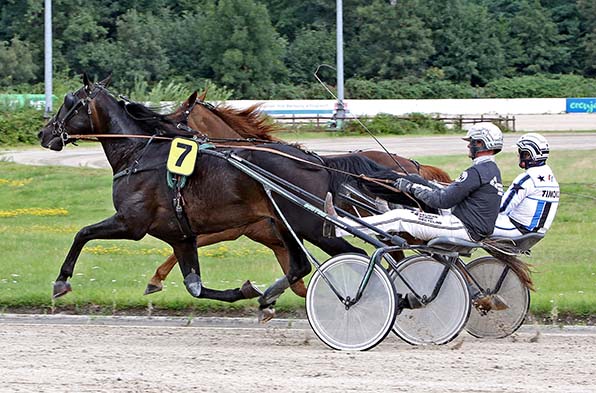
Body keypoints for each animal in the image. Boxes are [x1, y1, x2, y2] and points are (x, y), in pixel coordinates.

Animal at [143, 91, 452, 294]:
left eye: (175, 117)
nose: (154, 135)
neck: (246, 164)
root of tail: (413, 164)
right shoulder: (277, 240)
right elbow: (298, 283)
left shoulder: (233, 227)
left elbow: (192, 241)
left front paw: (155, 280)